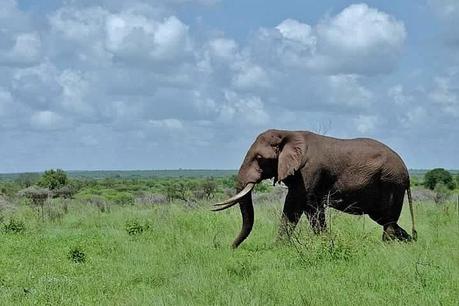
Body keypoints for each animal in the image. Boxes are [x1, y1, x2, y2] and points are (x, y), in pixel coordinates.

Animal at [214, 129, 418, 249]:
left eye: (259, 158)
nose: (229, 248)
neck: (287, 133)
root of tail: (407, 173)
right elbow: (305, 209)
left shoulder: (309, 171)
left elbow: (298, 205)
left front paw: (278, 247)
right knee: (385, 220)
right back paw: (410, 242)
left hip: (391, 183)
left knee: (388, 221)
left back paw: (388, 248)